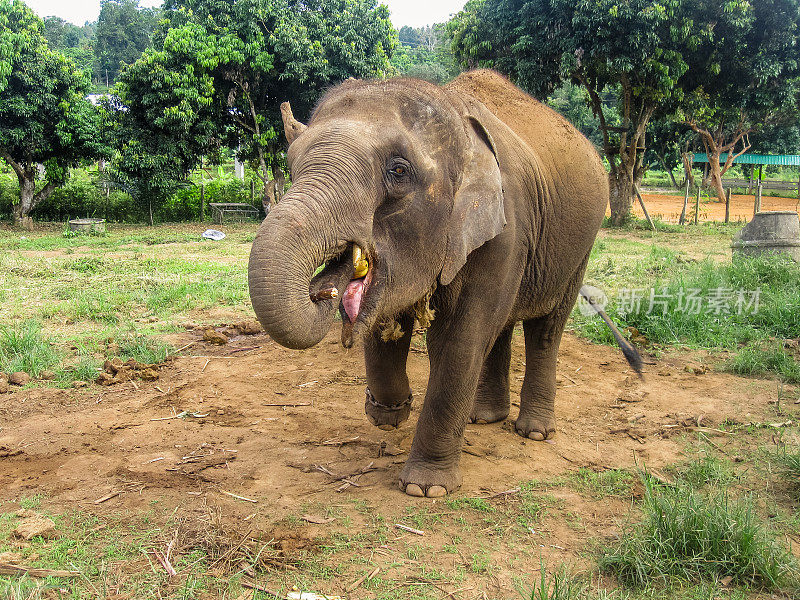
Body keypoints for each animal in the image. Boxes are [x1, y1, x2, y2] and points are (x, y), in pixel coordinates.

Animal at [247, 69, 640, 496]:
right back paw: (483, 417)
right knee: (502, 326)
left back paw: (534, 431)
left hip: (578, 247)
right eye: (291, 166)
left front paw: (426, 488)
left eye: (399, 171)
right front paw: (389, 415)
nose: (323, 290)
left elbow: (459, 340)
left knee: (545, 327)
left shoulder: (506, 232)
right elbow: (392, 317)